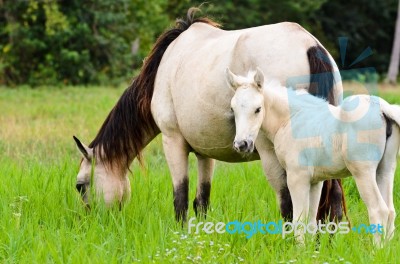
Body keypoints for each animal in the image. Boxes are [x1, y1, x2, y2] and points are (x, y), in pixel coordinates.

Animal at [72, 8, 346, 223]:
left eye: (80, 186)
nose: (90, 221)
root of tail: (308, 44)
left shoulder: (173, 141)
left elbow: (180, 199)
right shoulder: (205, 152)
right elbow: (201, 201)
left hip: (274, 156)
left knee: (289, 204)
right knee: (333, 199)